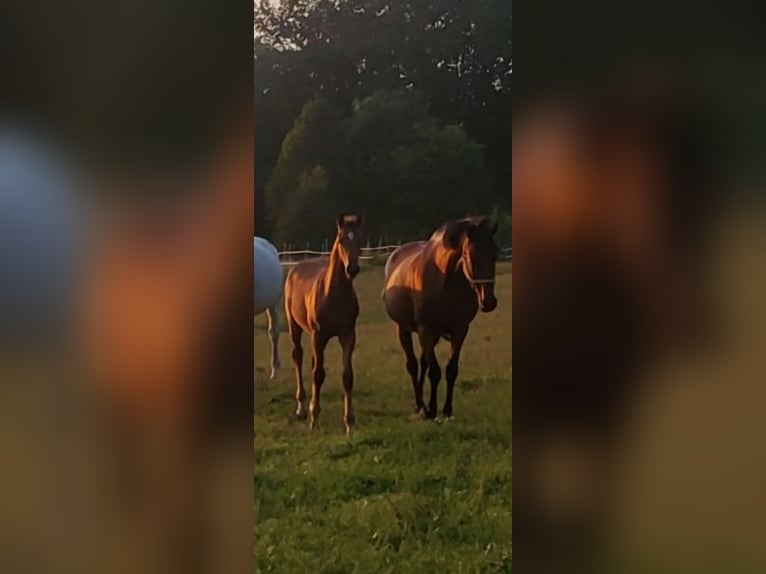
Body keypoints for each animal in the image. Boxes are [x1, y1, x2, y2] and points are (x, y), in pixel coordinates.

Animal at [284, 214, 366, 434]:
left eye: (360, 240)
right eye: (341, 239)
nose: (352, 269)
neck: (334, 295)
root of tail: (296, 266)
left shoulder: (348, 335)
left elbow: (347, 376)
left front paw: (349, 423)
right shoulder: (318, 335)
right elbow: (318, 374)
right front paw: (314, 420)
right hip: (295, 326)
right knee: (298, 356)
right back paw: (302, 408)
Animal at [384, 216, 504, 418]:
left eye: (494, 255)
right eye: (471, 257)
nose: (489, 302)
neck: (446, 284)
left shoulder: (459, 331)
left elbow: (450, 370)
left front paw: (447, 409)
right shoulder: (425, 329)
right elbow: (434, 372)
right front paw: (431, 409)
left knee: (423, 363)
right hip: (404, 329)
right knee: (413, 365)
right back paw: (420, 405)